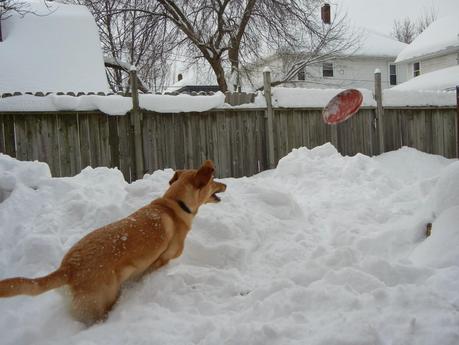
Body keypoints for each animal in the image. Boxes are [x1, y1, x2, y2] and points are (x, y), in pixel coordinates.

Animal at [0, 160, 226, 324]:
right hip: (102, 301)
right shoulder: (159, 261)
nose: (226, 184)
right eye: (214, 179)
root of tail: (68, 268)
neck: (175, 203)